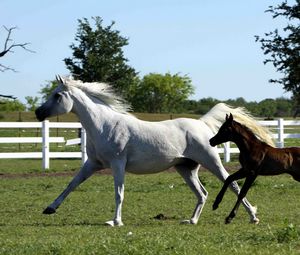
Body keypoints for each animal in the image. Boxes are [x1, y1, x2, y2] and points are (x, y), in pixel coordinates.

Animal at [35, 75, 258, 225]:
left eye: (57, 95)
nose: (38, 113)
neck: (104, 125)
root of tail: (201, 124)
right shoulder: (93, 164)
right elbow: (72, 184)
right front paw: (49, 208)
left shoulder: (117, 164)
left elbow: (119, 193)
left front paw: (115, 221)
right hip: (186, 168)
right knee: (202, 193)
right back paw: (191, 221)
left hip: (211, 162)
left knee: (233, 185)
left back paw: (253, 217)